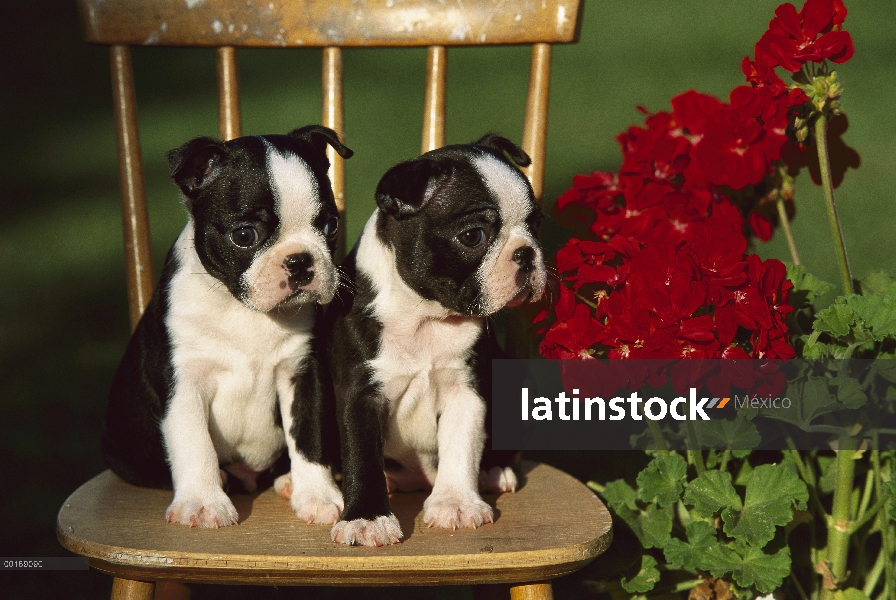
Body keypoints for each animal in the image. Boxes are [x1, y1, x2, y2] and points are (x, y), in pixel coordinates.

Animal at [100, 124, 348, 528]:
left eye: (330, 225)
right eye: (244, 235)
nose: (300, 261)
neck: (243, 309)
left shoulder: (302, 374)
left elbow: (310, 435)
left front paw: (318, 496)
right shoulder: (183, 383)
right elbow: (194, 443)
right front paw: (203, 503)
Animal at [324, 134, 544, 548]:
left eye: (536, 223)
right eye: (472, 236)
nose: (526, 253)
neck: (425, 319)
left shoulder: (466, 390)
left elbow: (461, 444)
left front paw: (456, 503)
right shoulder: (360, 394)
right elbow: (361, 456)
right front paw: (367, 519)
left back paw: (494, 471)